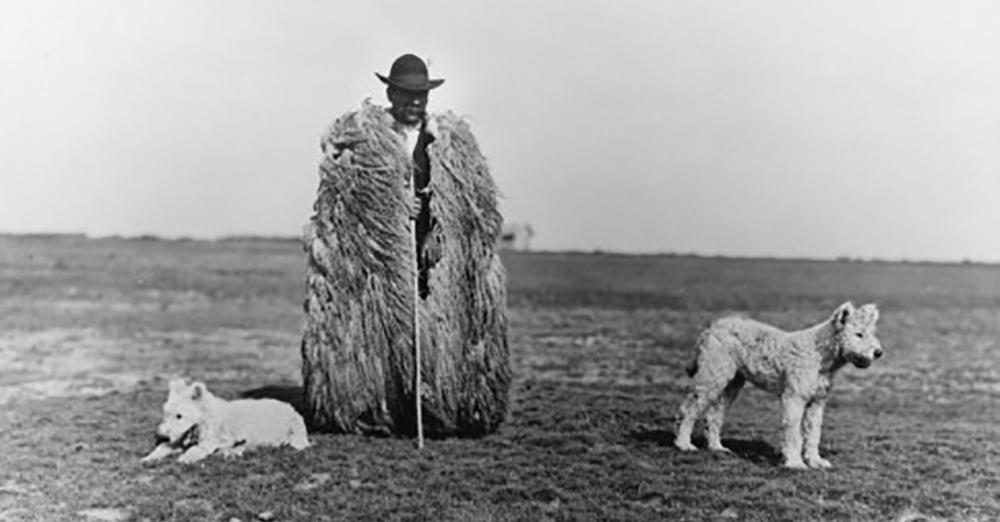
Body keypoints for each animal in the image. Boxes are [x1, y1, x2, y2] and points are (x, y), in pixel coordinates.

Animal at [141, 374, 310, 464]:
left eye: (179, 416)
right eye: (166, 414)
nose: (160, 435)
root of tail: (290, 407)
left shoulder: (209, 441)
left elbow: (196, 449)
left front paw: (185, 458)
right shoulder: (179, 440)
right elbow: (162, 447)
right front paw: (148, 457)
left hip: (294, 430)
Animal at [672, 300, 884, 468]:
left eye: (872, 333)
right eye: (858, 334)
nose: (879, 353)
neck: (820, 354)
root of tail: (710, 328)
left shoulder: (817, 402)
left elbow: (813, 434)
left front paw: (815, 461)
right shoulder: (794, 397)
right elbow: (793, 432)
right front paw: (795, 463)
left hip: (733, 382)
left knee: (714, 414)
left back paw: (717, 447)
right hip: (712, 376)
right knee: (689, 409)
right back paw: (684, 444)